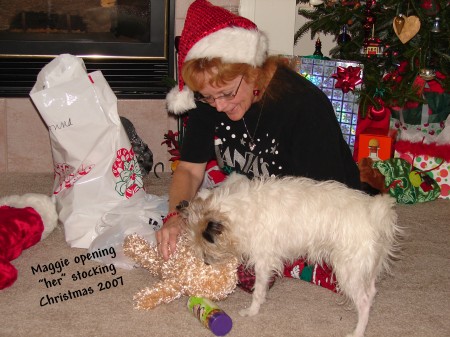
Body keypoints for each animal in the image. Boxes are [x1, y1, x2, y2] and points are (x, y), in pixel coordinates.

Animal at [180, 173, 400, 336]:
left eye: (206, 249)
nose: (206, 263)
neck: (236, 212)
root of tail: (375, 214)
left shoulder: (263, 260)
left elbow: (258, 290)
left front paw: (252, 311)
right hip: (365, 267)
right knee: (371, 292)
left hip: (349, 270)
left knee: (363, 301)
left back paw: (358, 331)